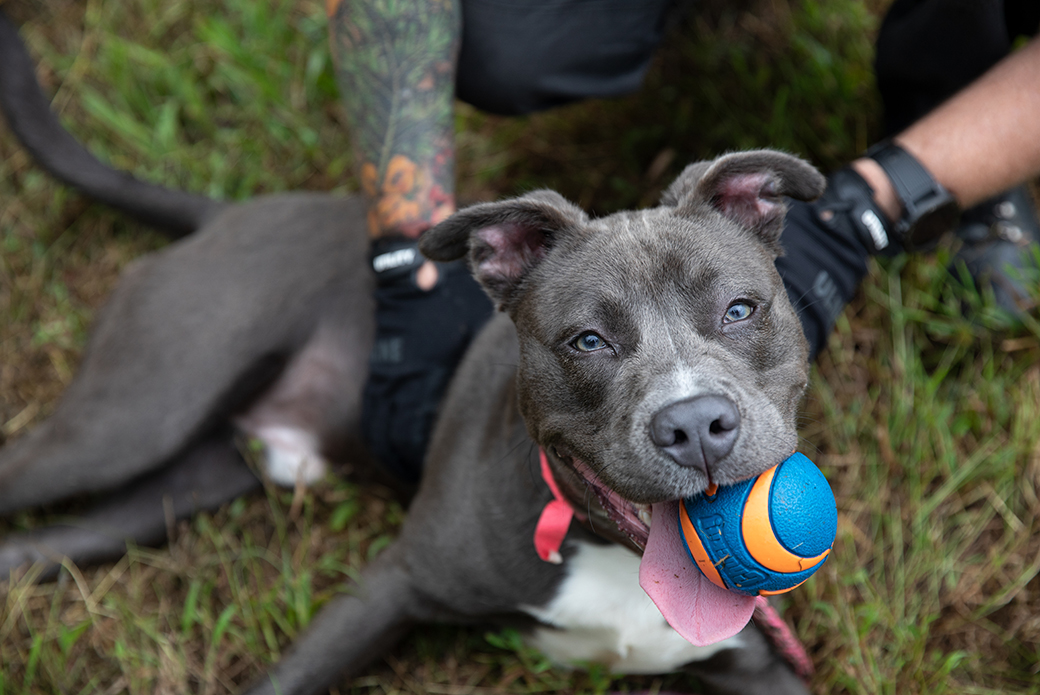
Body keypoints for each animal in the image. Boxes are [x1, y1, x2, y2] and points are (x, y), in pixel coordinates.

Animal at [4, 10, 823, 695]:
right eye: (588, 341)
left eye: (740, 309)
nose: (695, 424)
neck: (617, 558)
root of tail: (222, 215)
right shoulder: (388, 586)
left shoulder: (762, 667)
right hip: (129, 421)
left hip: (187, 482)